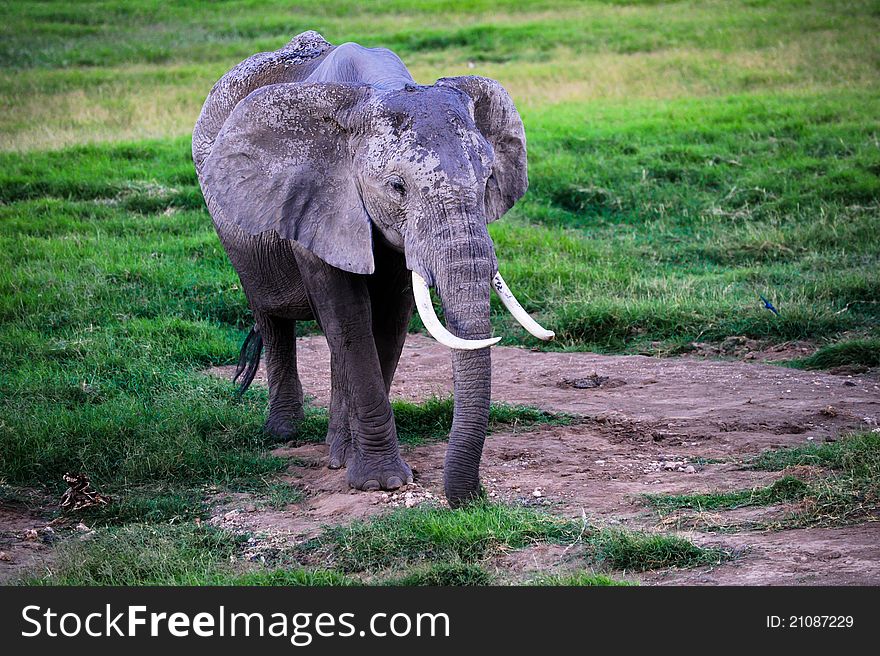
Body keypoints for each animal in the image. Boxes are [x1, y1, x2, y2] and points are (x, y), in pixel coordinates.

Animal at [194, 29, 552, 508]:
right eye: (397, 187)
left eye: (487, 179)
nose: (474, 498)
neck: (379, 89)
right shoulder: (318, 199)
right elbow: (350, 320)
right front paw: (381, 482)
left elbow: (389, 319)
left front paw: (354, 462)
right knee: (272, 318)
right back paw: (284, 433)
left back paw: (335, 448)